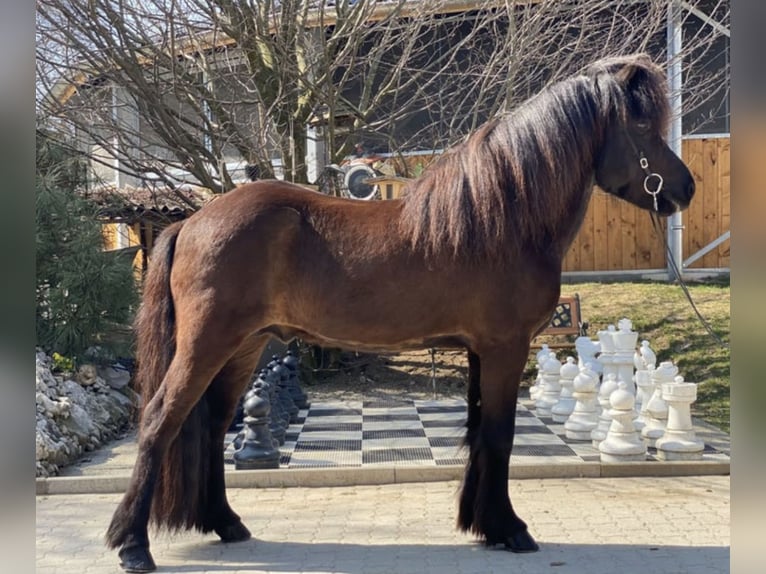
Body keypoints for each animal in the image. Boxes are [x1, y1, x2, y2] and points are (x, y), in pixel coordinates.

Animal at [106, 53, 695, 572]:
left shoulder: (480, 352)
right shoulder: (505, 348)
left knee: (211, 423)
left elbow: (479, 433)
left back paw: (227, 523)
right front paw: (510, 529)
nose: (685, 188)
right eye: (643, 124)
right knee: (161, 419)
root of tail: (191, 221)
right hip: (208, 343)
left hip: (245, 347)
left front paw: (482, 524)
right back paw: (134, 546)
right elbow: (499, 435)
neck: (502, 220)